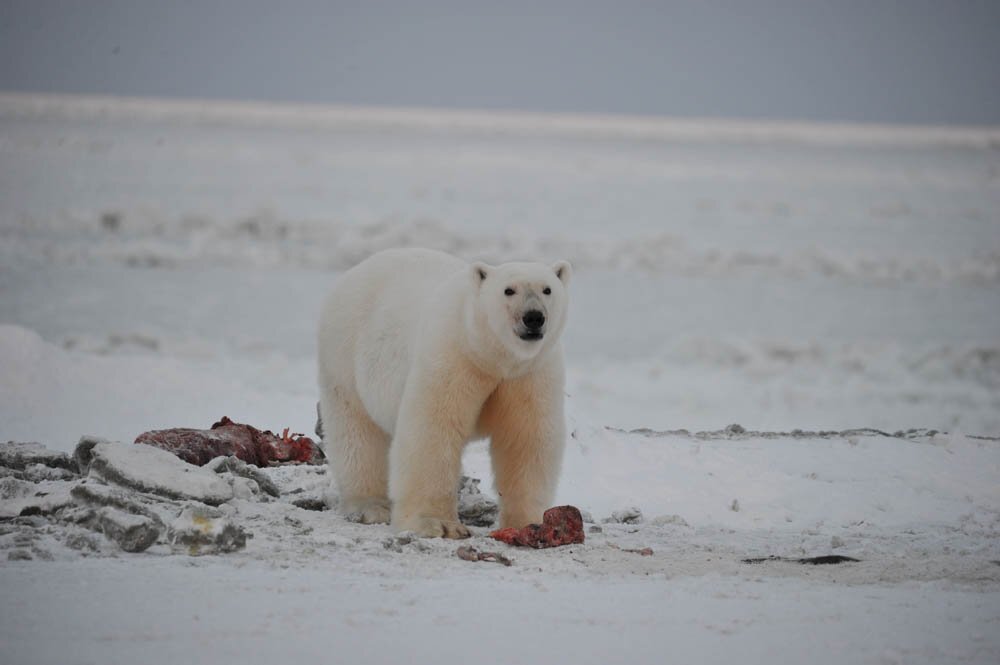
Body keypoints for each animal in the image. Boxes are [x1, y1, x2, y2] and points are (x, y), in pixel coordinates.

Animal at [317, 248, 571, 538]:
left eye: (547, 289)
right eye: (509, 290)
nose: (534, 317)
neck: (490, 355)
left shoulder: (530, 373)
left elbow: (526, 438)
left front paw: (527, 522)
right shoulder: (452, 355)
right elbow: (433, 429)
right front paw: (436, 524)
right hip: (344, 353)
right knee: (357, 432)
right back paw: (370, 506)